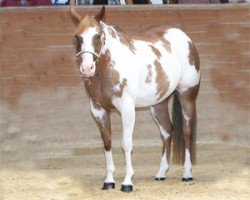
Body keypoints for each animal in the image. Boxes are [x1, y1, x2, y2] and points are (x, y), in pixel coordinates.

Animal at [70, 7, 201, 193]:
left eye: (97, 35)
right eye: (77, 36)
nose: (87, 68)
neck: (108, 70)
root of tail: (184, 37)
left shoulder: (127, 109)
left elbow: (126, 143)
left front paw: (127, 182)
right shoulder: (98, 110)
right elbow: (107, 143)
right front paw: (109, 181)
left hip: (187, 96)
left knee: (187, 131)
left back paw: (187, 174)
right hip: (158, 103)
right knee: (167, 131)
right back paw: (161, 173)